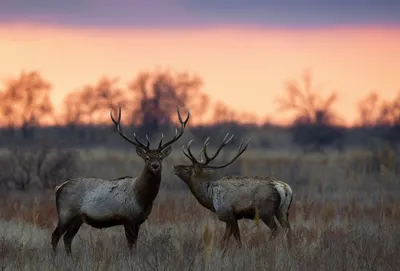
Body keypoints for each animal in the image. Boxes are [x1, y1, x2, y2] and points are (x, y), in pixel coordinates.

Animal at [50, 105, 191, 255]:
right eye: (147, 158)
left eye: (160, 157)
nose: (155, 165)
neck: (142, 198)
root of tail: (58, 187)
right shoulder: (128, 217)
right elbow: (131, 245)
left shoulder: (138, 220)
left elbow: (134, 244)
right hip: (66, 213)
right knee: (55, 236)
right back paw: (55, 258)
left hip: (77, 218)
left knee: (67, 238)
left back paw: (69, 257)